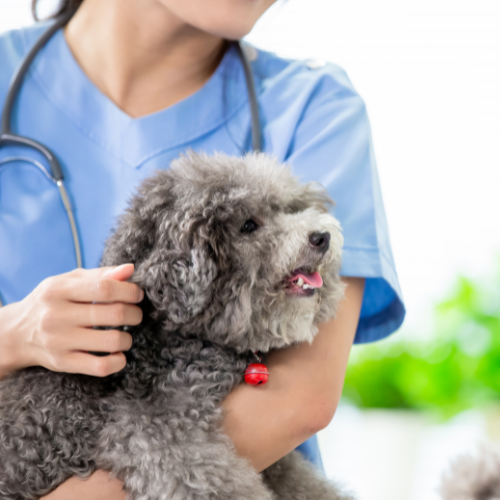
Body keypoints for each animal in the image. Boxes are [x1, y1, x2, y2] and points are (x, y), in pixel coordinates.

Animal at [0, 153, 352, 500]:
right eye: (248, 225)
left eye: (291, 208)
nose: (322, 237)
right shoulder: (155, 433)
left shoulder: (273, 464)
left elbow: (301, 482)